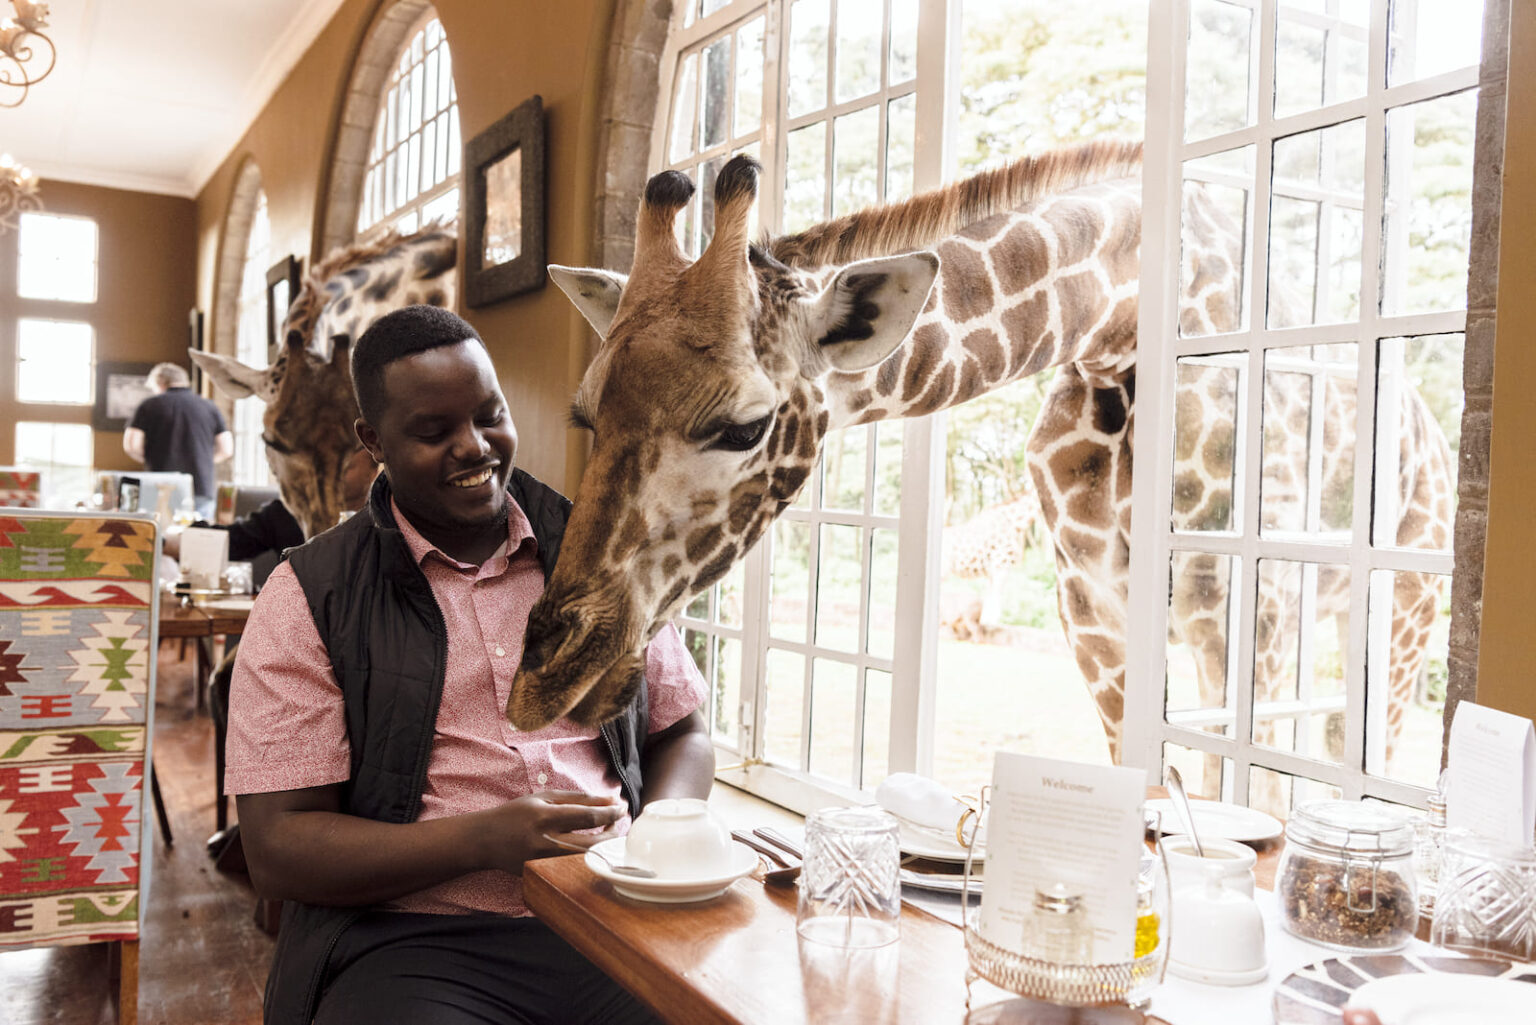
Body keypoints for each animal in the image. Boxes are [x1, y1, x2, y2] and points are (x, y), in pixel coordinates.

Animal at [506, 146, 1454, 793]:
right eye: (586, 414)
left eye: (743, 426)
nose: (543, 678)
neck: (1116, 326)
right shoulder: (1091, 607)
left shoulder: (1242, 619)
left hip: (1400, 614)